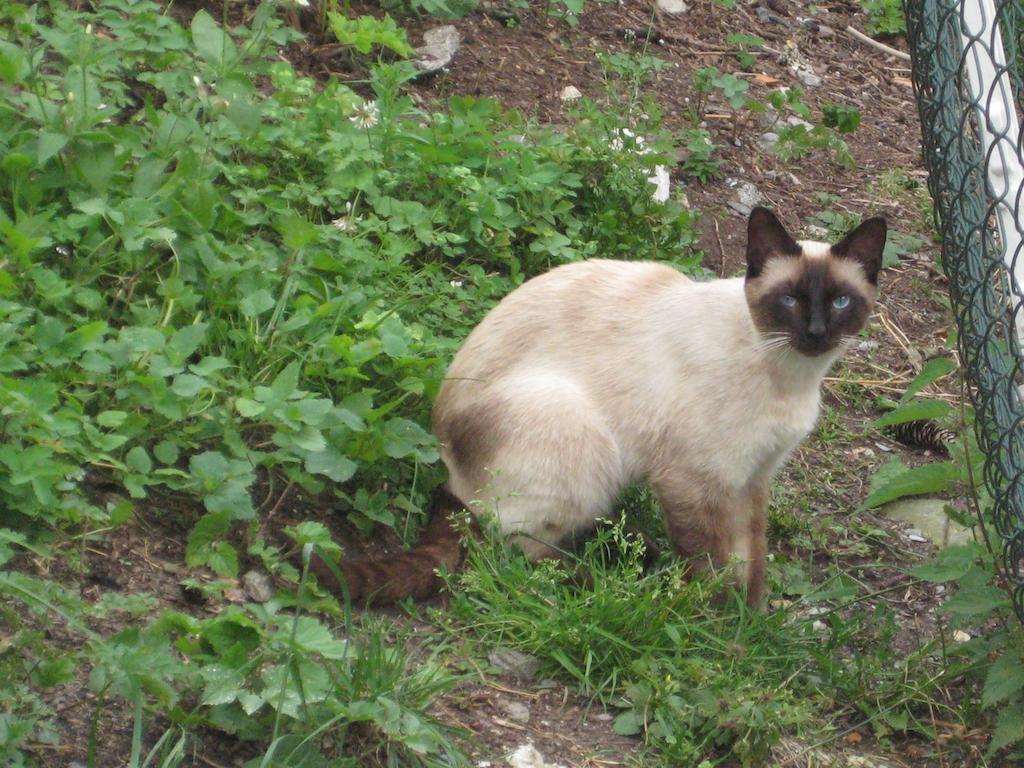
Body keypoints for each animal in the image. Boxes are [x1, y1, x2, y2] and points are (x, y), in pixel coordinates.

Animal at [307, 207, 884, 610]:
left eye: (839, 302)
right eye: (789, 300)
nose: (815, 333)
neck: (792, 377)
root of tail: (444, 468)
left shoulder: (753, 478)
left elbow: (753, 559)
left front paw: (755, 617)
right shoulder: (697, 480)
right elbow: (713, 563)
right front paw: (722, 629)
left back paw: (634, 556)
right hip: (582, 440)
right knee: (516, 555)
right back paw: (609, 584)